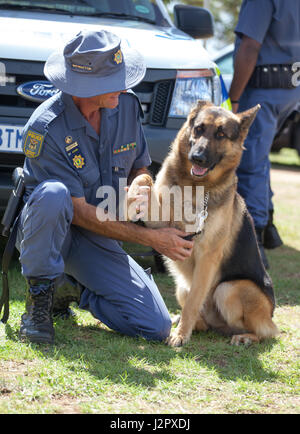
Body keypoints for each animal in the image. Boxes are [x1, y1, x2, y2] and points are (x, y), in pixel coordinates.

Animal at [126, 101, 278, 346]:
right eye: (198, 129)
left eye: (221, 134)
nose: (197, 157)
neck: (194, 186)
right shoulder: (161, 224)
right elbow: (145, 179)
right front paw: (131, 195)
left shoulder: (208, 256)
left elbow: (193, 302)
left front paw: (180, 336)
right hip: (182, 287)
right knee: (202, 319)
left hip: (229, 289)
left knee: (267, 332)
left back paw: (243, 337)